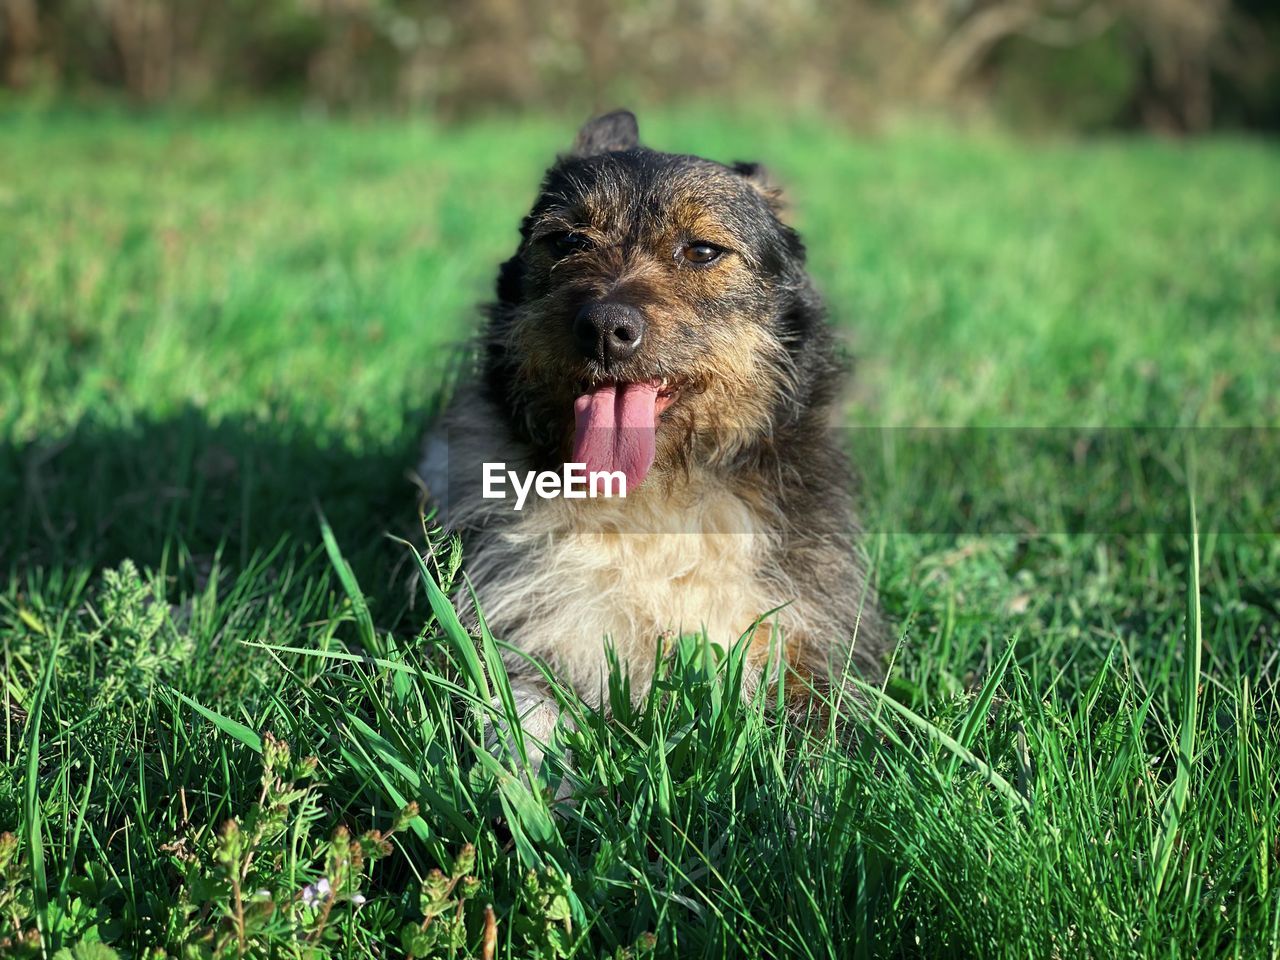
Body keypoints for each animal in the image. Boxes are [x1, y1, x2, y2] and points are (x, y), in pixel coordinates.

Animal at [424, 108, 885, 757]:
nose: (605, 327)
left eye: (702, 251)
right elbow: (524, 724)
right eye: (566, 240)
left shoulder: (802, 645)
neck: (650, 498)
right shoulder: (526, 637)